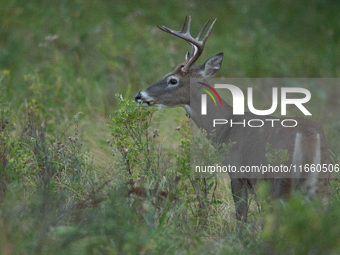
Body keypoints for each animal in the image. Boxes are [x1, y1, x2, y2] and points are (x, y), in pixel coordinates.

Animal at [135, 16, 330, 222]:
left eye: (173, 80)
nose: (139, 95)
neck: (225, 127)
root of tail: (310, 136)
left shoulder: (236, 171)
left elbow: (241, 216)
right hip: (321, 180)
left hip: (281, 180)